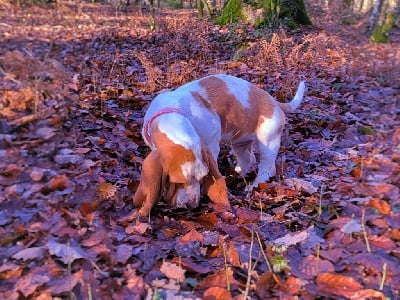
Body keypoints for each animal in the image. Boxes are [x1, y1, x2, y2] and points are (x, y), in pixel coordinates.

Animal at [133, 74, 304, 216]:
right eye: (179, 182)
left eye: (202, 178)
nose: (192, 205)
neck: (174, 114)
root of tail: (274, 102)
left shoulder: (211, 144)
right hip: (240, 144)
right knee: (248, 159)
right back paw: (238, 173)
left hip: (268, 141)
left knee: (267, 168)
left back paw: (253, 186)